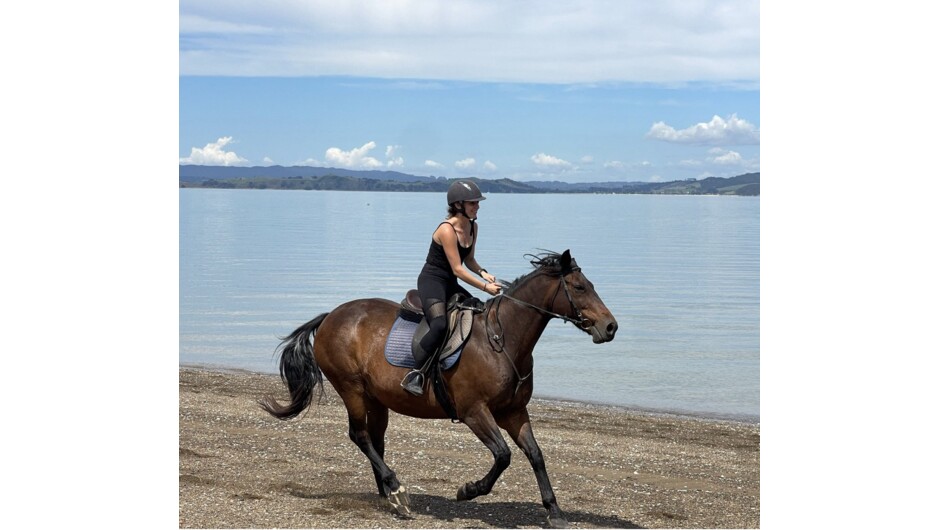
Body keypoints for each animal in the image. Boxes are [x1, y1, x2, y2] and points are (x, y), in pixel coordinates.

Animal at [260, 250, 620, 524]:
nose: (610, 327)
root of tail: (330, 316)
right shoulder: (475, 412)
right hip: (352, 389)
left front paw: (554, 511)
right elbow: (503, 456)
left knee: (376, 441)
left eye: (589, 285)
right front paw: (468, 490)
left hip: (376, 399)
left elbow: (536, 455)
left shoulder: (514, 412)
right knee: (360, 436)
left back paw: (389, 495)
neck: (502, 341)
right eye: (579, 287)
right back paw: (396, 489)